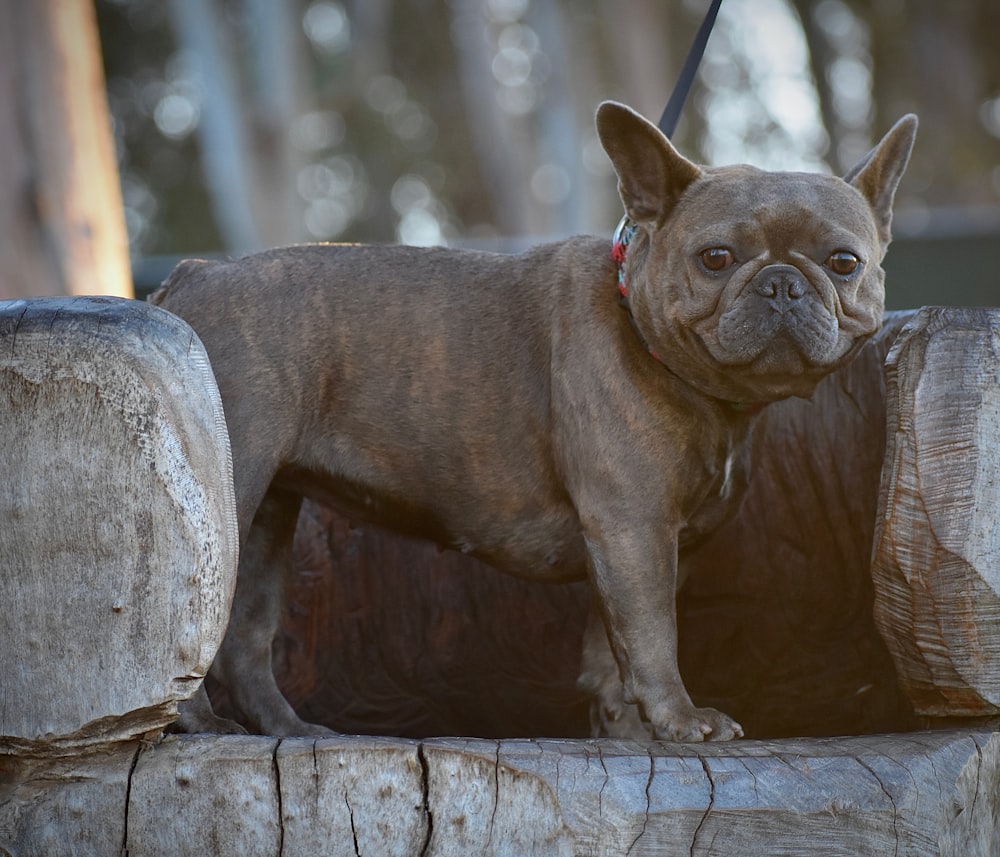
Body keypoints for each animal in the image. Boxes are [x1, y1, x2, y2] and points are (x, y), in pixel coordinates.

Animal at [154, 103, 916, 740]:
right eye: (716, 258)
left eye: (844, 262)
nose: (782, 284)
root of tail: (192, 275)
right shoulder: (634, 528)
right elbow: (653, 636)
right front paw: (682, 720)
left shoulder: (638, 547)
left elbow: (610, 649)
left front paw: (628, 732)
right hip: (232, 495)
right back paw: (200, 724)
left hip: (270, 516)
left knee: (246, 637)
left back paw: (290, 730)